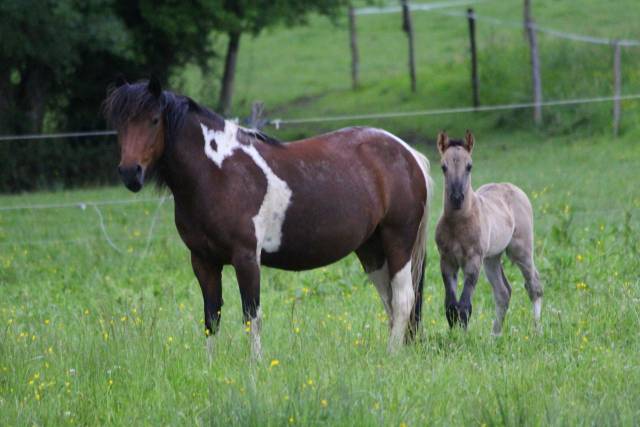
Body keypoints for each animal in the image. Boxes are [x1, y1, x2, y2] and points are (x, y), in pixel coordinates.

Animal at [103, 77, 434, 357]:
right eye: (119, 125)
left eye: (154, 120)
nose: (130, 173)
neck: (216, 173)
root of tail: (409, 154)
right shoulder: (203, 261)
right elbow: (211, 316)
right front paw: (210, 366)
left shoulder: (246, 257)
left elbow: (252, 315)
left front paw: (255, 366)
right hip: (371, 250)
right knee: (390, 301)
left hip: (398, 241)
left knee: (403, 299)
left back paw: (391, 356)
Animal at [434, 131, 542, 336]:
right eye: (443, 167)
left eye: (469, 166)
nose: (457, 198)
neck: (459, 223)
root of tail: (515, 188)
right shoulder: (447, 261)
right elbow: (450, 306)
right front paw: (454, 336)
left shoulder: (473, 261)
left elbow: (465, 306)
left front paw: (463, 338)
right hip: (491, 259)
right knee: (503, 292)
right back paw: (495, 336)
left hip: (521, 251)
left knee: (534, 286)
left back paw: (537, 331)